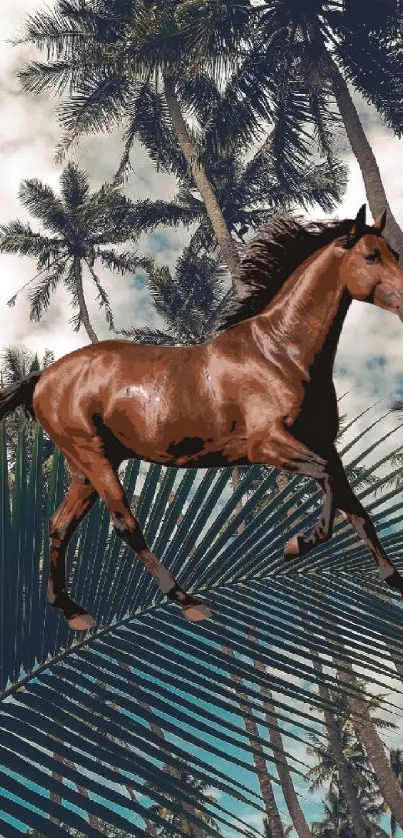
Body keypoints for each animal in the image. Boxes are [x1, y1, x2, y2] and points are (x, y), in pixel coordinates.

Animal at [0, 205, 403, 632]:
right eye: (371, 256)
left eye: (394, 253)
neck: (280, 353)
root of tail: (44, 376)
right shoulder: (268, 445)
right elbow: (328, 481)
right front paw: (296, 545)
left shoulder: (325, 443)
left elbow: (355, 507)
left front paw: (393, 579)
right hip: (93, 457)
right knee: (126, 526)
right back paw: (187, 601)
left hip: (86, 469)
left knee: (60, 525)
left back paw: (71, 609)